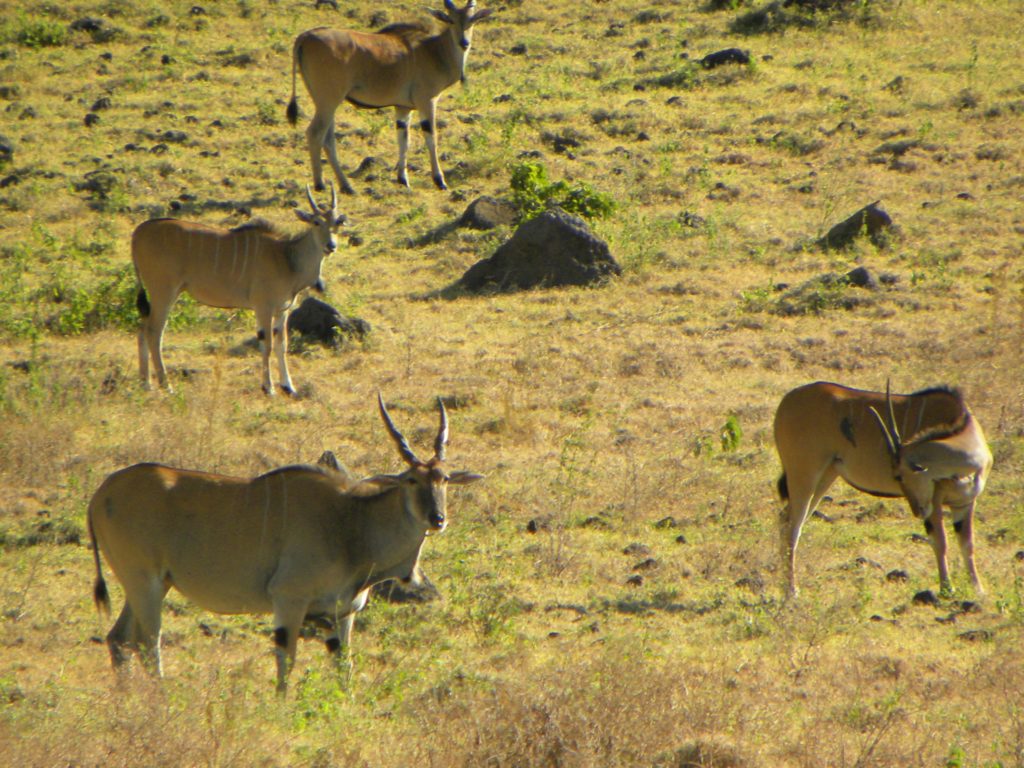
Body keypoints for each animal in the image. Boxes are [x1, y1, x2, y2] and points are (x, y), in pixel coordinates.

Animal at [89, 393, 483, 696]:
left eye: (444, 478)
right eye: (412, 480)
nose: (437, 519)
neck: (350, 521)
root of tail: (100, 495)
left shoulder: (343, 613)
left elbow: (344, 667)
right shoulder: (288, 600)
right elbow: (286, 662)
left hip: (149, 585)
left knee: (119, 640)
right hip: (146, 582)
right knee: (147, 643)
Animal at [135, 183, 348, 393]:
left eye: (336, 223)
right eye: (316, 222)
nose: (331, 245)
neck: (286, 257)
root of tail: (139, 231)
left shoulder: (282, 310)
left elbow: (282, 344)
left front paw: (288, 386)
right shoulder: (263, 307)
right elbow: (267, 344)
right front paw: (268, 388)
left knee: (143, 326)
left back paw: (146, 383)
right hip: (163, 290)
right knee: (154, 331)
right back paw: (166, 385)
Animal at [286, 0, 493, 192]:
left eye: (472, 20)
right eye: (451, 20)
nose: (464, 43)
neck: (433, 50)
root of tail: (306, 37)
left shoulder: (403, 108)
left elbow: (404, 140)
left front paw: (403, 179)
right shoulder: (427, 101)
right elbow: (431, 137)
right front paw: (439, 181)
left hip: (326, 103)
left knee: (327, 139)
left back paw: (346, 186)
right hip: (328, 101)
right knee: (315, 133)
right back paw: (320, 184)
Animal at [774, 382, 991, 598]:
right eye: (897, 476)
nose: (917, 510)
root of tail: (786, 401)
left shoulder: (964, 503)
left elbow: (967, 544)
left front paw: (978, 589)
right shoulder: (935, 502)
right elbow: (941, 542)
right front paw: (947, 588)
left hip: (825, 477)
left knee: (787, 519)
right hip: (805, 476)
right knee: (793, 526)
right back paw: (791, 590)